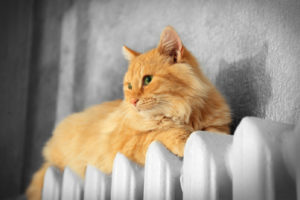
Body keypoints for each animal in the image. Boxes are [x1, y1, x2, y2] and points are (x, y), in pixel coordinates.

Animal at [26, 26, 232, 198]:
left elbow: (210, 133)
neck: (180, 111)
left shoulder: (219, 128)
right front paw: (183, 139)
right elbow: (161, 133)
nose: (133, 101)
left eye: (147, 80)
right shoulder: (127, 143)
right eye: (130, 86)